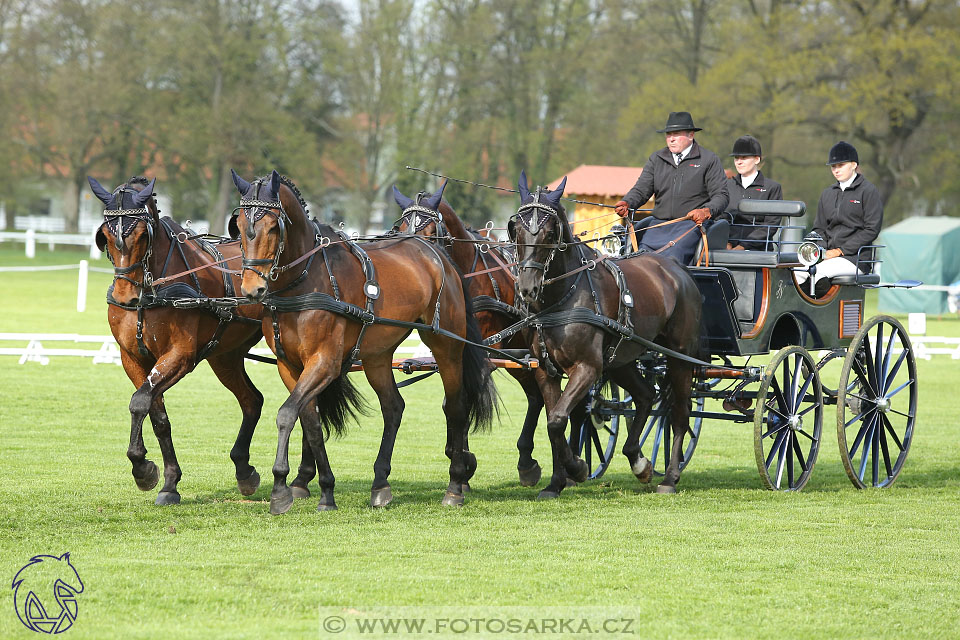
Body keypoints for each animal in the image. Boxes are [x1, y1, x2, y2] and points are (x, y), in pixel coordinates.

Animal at [88, 175, 266, 504]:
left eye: (142, 234)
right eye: (104, 234)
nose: (124, 296)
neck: (152, 291)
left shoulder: (180, 356)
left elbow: (139, 402)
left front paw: (143, 468)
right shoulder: (133, 359)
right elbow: (156, 415)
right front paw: (167, 481)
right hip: (225, 356)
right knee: (252, 400)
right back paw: (244, 470)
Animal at [232, 170, 496, 516]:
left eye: (274, 227)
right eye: (238, 226)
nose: (253, 289)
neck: (304, 280)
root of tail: (438, 255)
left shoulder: (324, 363)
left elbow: (287, 414)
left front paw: (279, 488)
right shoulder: (289, 366)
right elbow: (310, 423)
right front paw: (325, 490)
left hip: (446, 347)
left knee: (455, 405)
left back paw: (455, 484)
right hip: (377, 355)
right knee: (393, 406)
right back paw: (380, 484)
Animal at [506, 172, 700, 498]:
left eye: (550, 233)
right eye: (516, 230)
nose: (527, 288)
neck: (564, 297)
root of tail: (675, 268)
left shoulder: (588, 367)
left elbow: (558, 420)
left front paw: (577, 468)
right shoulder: (546, 371)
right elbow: (554, 421)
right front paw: (556, 483)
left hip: (680, 357)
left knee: (680, 413)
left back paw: (670, 477)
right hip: (622, 359)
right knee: (645, 396)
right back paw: (639, 461)